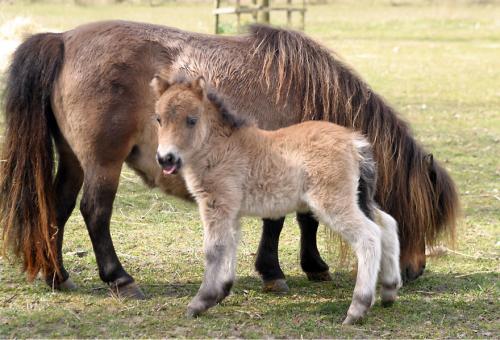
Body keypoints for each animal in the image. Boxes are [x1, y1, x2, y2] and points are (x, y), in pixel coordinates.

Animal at [0, 21, 458, 298]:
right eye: (420, 217)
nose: (415, 270)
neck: (309, 94)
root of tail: (62, 39)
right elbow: (281, 222)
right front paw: (274, 273)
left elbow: (304, 219)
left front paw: (312, 266)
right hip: (103, 161)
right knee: (95, 212)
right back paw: (120, 279)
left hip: (74, 159)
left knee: (57, 208)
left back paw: (57, 276)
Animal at [153, 75, 402, 326]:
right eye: (158, 119)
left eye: (192, 120)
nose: (166, 159)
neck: (220, 147)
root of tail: (354, 141)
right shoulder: (231, 211)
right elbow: (229, 246)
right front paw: (219, 293)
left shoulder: (216, 203)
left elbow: (214, 249)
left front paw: (200, 302)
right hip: (359, 197)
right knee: (387, 224)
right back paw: (389, 291)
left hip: (333, 201)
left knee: (369, 236)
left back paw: (357, 308)